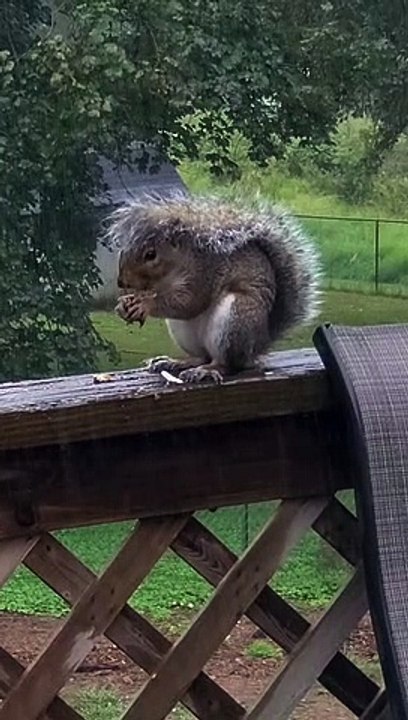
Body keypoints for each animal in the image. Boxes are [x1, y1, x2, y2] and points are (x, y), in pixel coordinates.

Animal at [105, 194, 321, 383]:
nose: (121, 282)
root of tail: (260, 344)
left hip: (237, 318)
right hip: (183, 332)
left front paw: (145, 304)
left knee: (226, 364)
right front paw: (124, 305)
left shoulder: (205, 274)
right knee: (201, 356)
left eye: (151, 254)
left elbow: (189, 303)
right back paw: (175, 363)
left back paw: (205, 371)